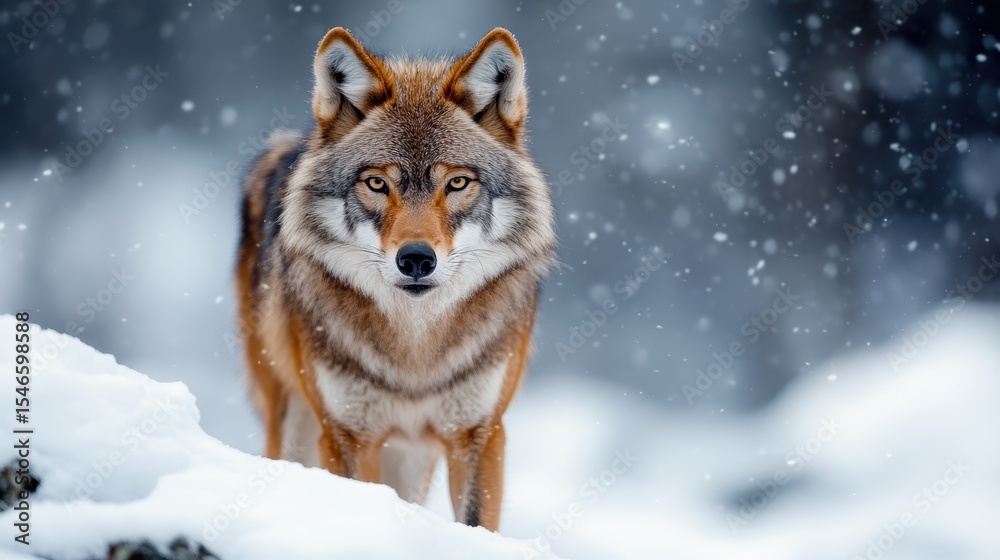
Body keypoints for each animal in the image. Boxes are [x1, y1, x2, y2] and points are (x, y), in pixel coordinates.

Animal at [235, 26, 556, 531]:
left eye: (457, 183)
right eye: (377, 183)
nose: (417, 259)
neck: (415, 354)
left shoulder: (480, 433)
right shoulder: (347, 434)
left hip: (409, 455)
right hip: (293, 422)